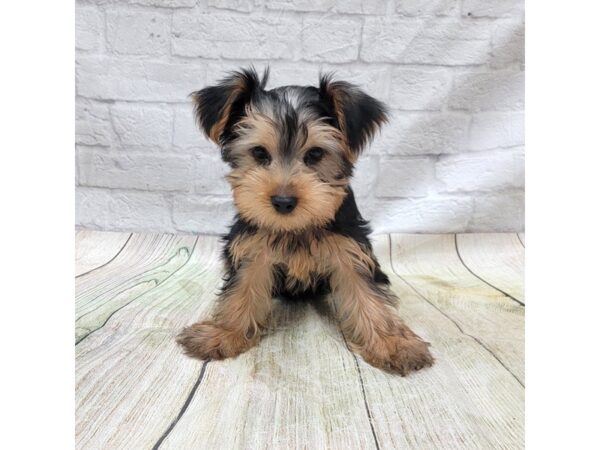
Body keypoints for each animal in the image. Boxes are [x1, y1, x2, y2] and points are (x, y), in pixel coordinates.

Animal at [176, 67, 434, 376]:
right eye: (259, 153)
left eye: (315, 154)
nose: (283, 201)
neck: (297, 227)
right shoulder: (254, 248)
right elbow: (242, 289)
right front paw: (222, 332)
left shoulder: (349, 249)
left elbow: (366, 293)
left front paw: (392, 343)